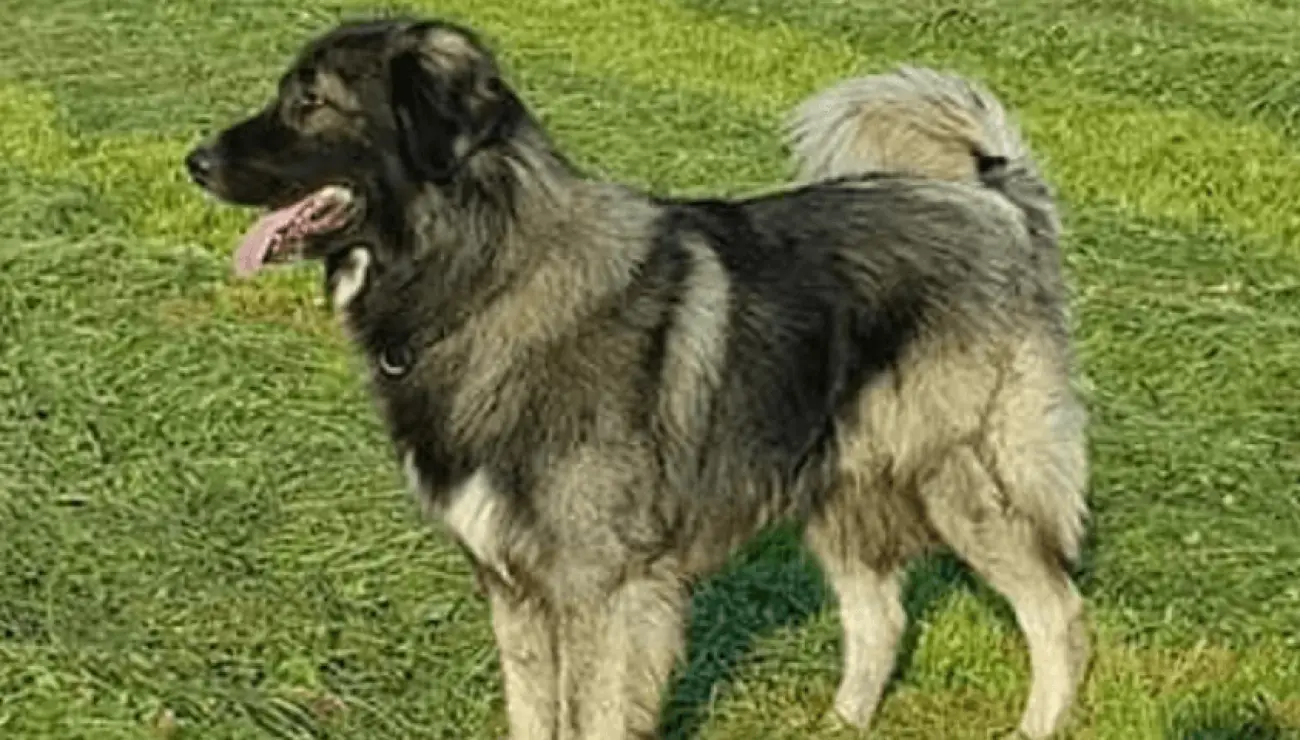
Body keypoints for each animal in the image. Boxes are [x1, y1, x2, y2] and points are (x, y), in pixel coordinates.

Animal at [185, 18, 1086, 738]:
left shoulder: (605, 590)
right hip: (842, 487)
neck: (485, 279)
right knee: (881, 617)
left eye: (311, 100)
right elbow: (533, 714)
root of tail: (1001, 207)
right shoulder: (514, 585)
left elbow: (593, 715)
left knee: (1056, 611)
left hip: (964, 479)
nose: (196, 160)